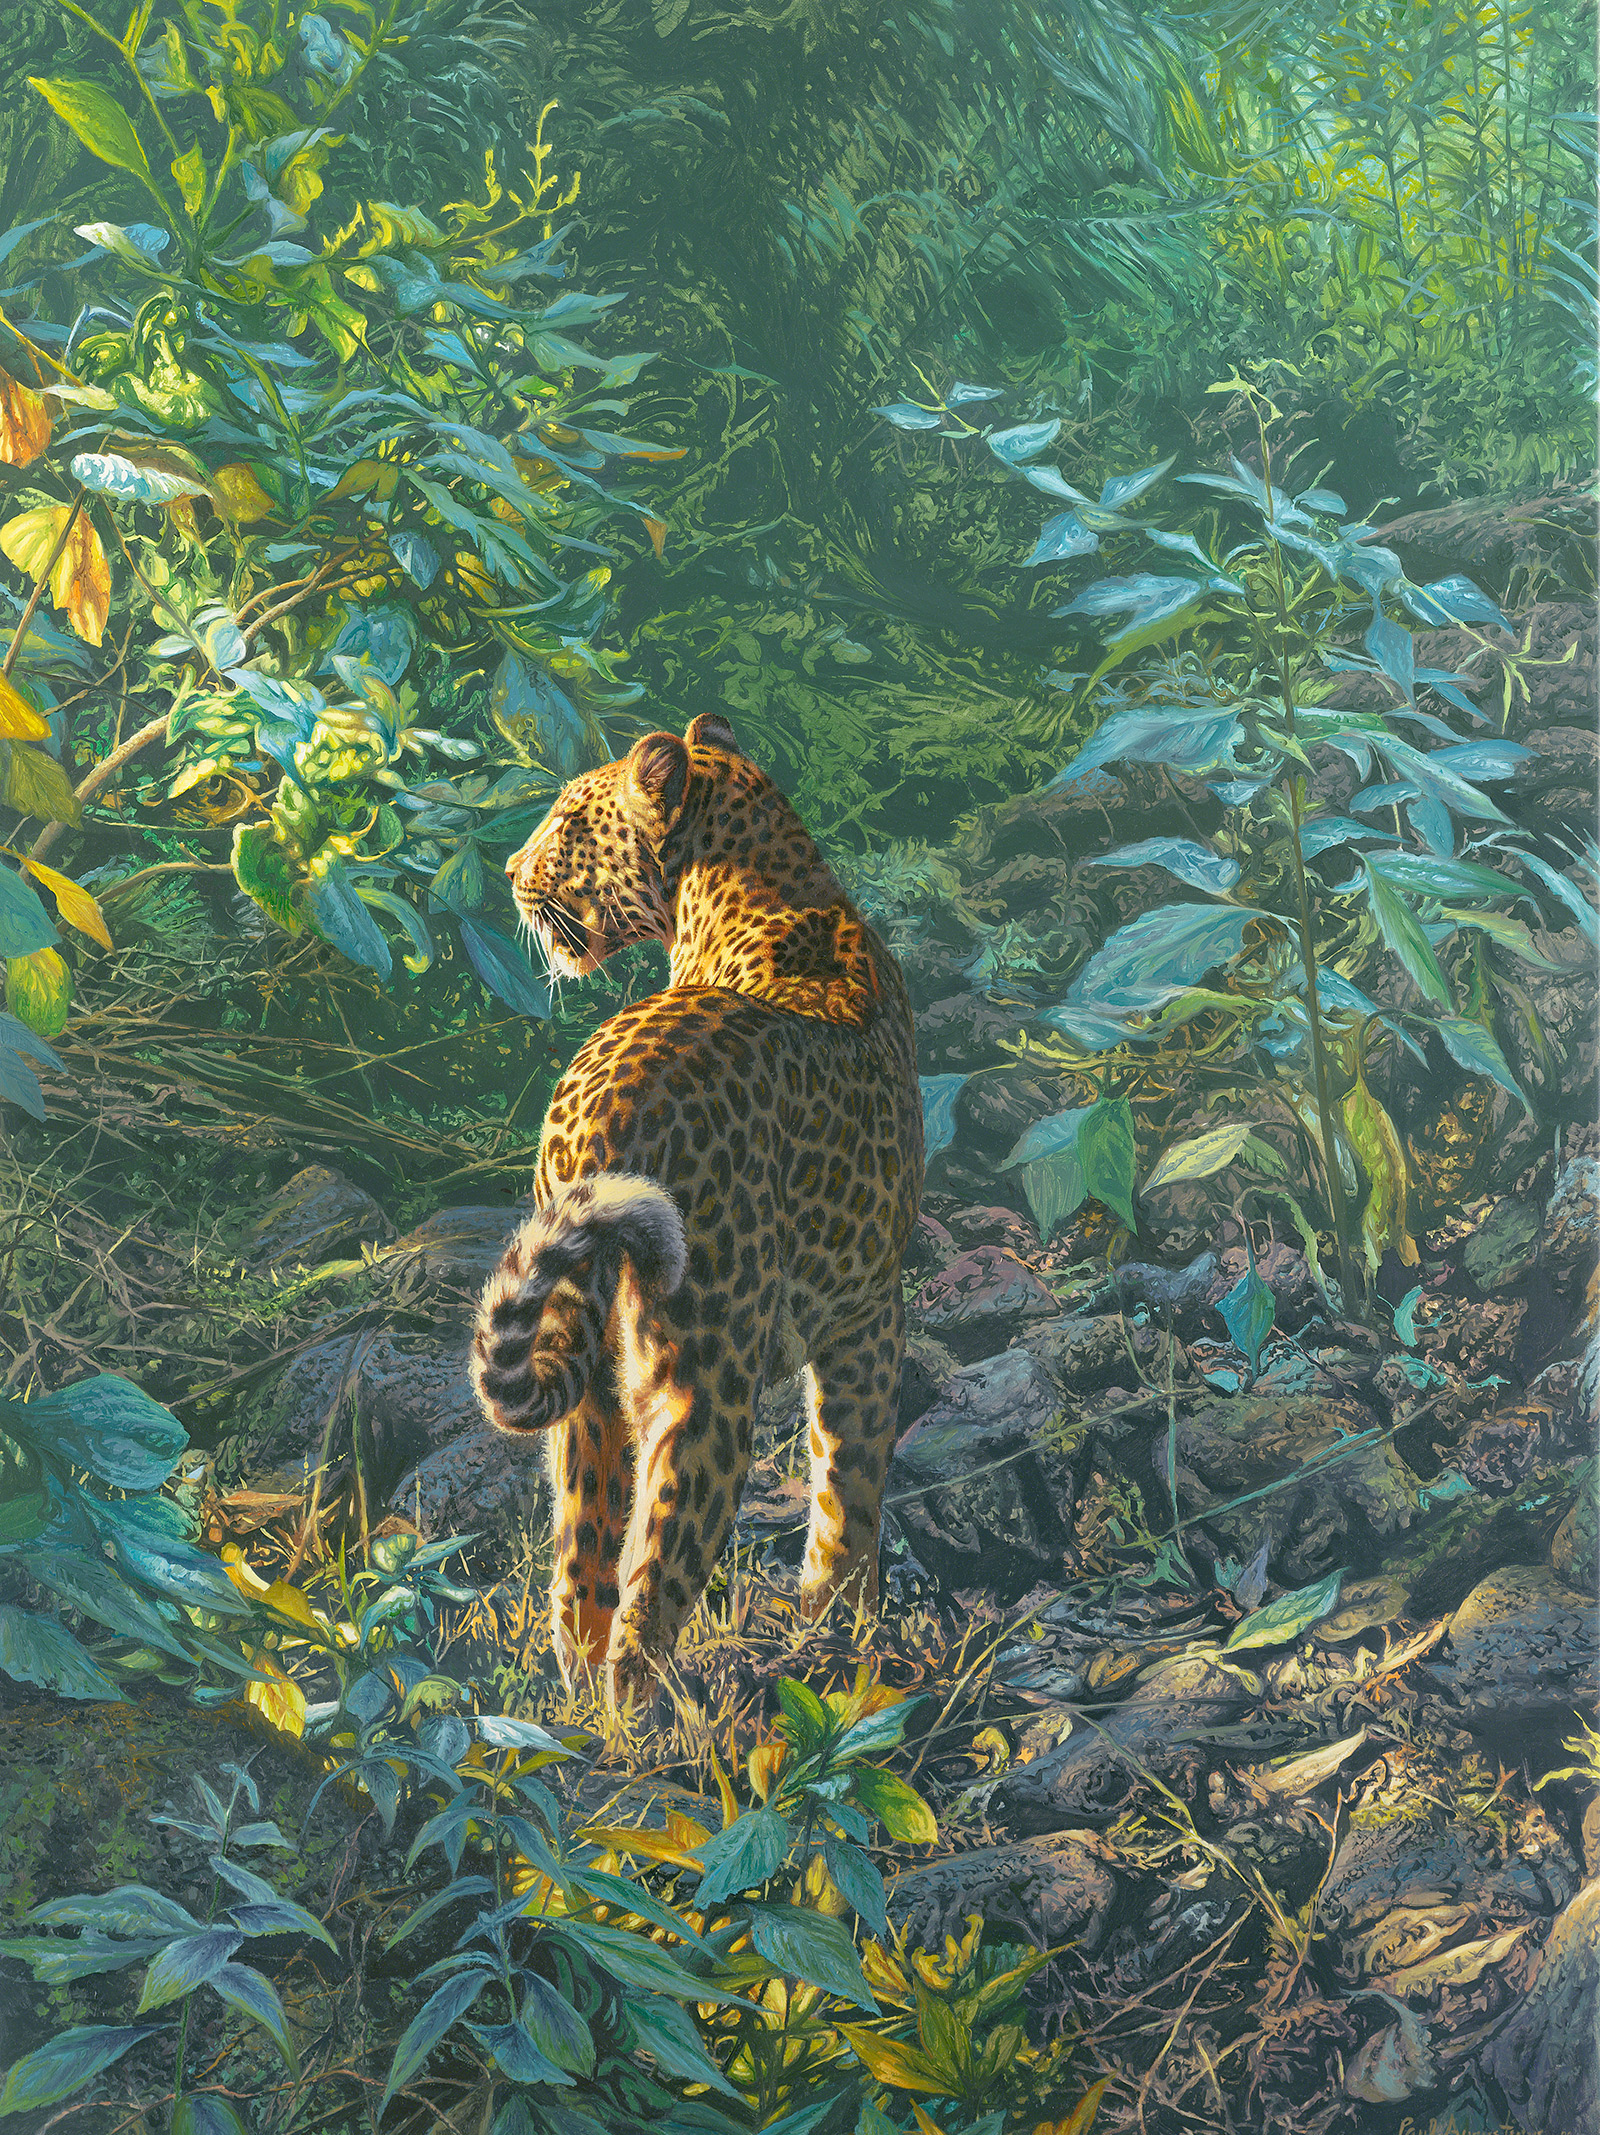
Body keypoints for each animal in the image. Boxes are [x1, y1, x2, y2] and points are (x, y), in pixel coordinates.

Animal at [469, 709, 923, 1709]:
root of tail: (597, 1110)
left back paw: (579, 1709)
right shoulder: (869, 1313)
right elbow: (851, 1486)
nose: (510, 871)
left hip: (590, 1380)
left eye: (568, 824)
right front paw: (842, 1630)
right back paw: (659, 1720)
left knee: (584, 1575)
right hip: (707, 1378)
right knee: (652, 1588)